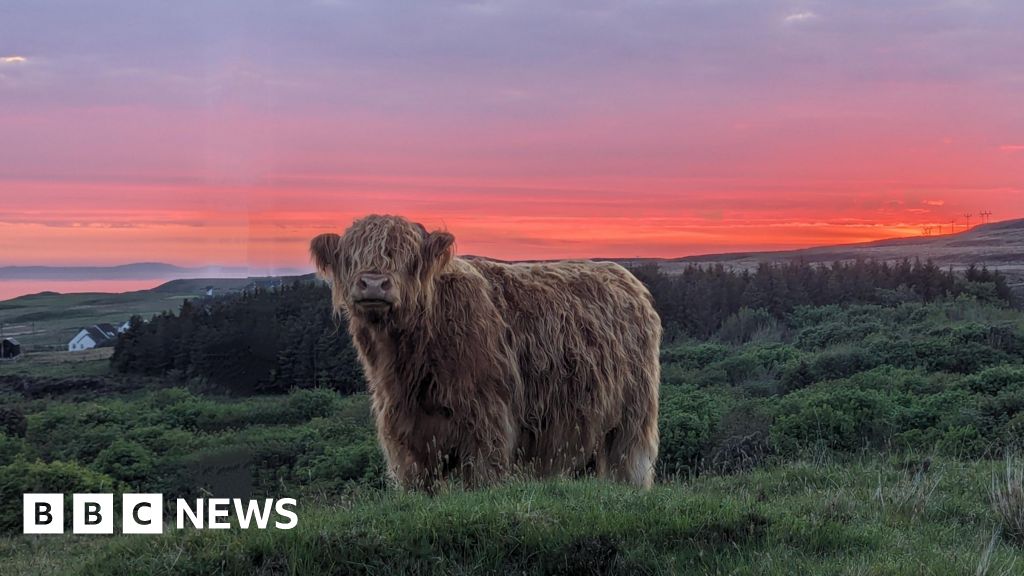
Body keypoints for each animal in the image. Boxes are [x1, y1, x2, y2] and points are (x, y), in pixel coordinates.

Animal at [311, 213, 659, 485]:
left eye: (408, 258)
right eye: (350, 256)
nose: (373, 283)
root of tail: (626, 277)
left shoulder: (486, 418)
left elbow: (482, 477)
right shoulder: (406, 433)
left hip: (633, 412)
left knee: (627, 460)